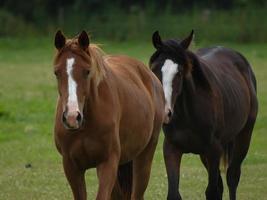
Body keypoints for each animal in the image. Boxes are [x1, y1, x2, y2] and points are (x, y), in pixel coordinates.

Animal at [52, 30, 165, 199]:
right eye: (56, 72)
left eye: (87, 71)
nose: (72, 117)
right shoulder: (71, 167)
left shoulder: (107, 163)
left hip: (144, 156)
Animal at [150, 30, 258, 200]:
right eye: (155, 69)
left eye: (179, 72)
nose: (165, 112)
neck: (188, 115)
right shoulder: (171, 149)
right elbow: (174, 193)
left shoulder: (214, 150)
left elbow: (212, 191)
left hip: (243, 137)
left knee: (232, 177)